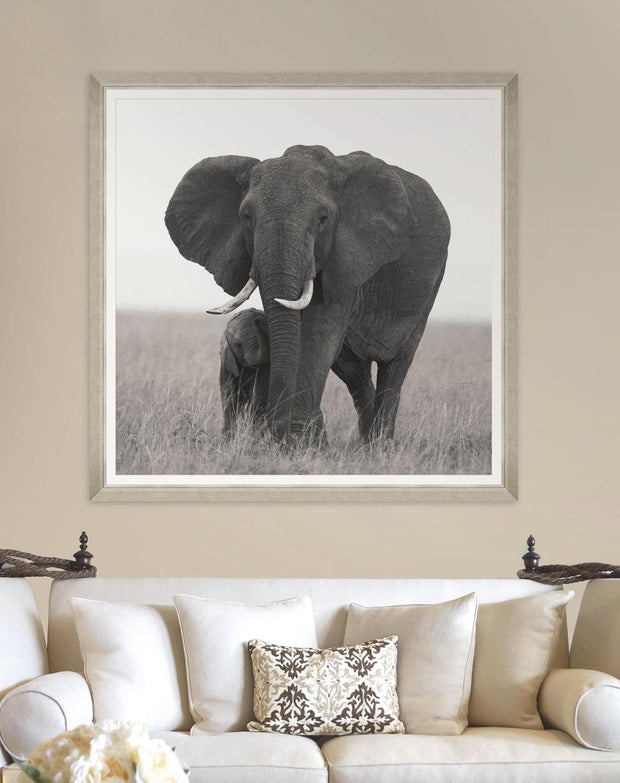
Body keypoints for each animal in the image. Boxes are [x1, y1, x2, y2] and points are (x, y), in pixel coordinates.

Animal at [165, 144, 450, 442]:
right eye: (246, 217)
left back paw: (380, 444)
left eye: (323, 220)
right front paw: (301, 439)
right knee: (353, 372)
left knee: (396, 364)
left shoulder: (348, 256)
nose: (273, 430)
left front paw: (299, 441)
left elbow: (319, 331)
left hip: (429, 286)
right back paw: (363, 443)